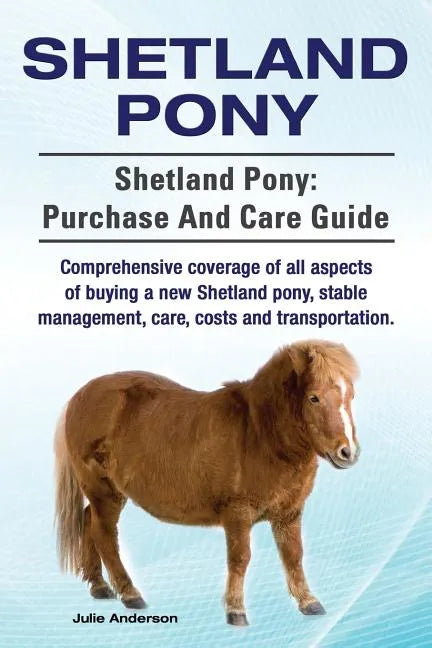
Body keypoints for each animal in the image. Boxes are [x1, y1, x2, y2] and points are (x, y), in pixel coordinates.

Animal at [54, 339, 360, 626]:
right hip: (103, 490)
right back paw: (130, 593)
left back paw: (100, 587)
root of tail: (79, 396)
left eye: (351, 395)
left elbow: (293, 555)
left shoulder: (289, 513)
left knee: (88, 522)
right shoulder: (238, 513)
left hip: (108, 493)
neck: (260, 433)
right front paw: (236, 610)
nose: (348, 452)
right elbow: (240, 558)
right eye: (313, 397)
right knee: (105, 535)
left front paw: (309, 602)